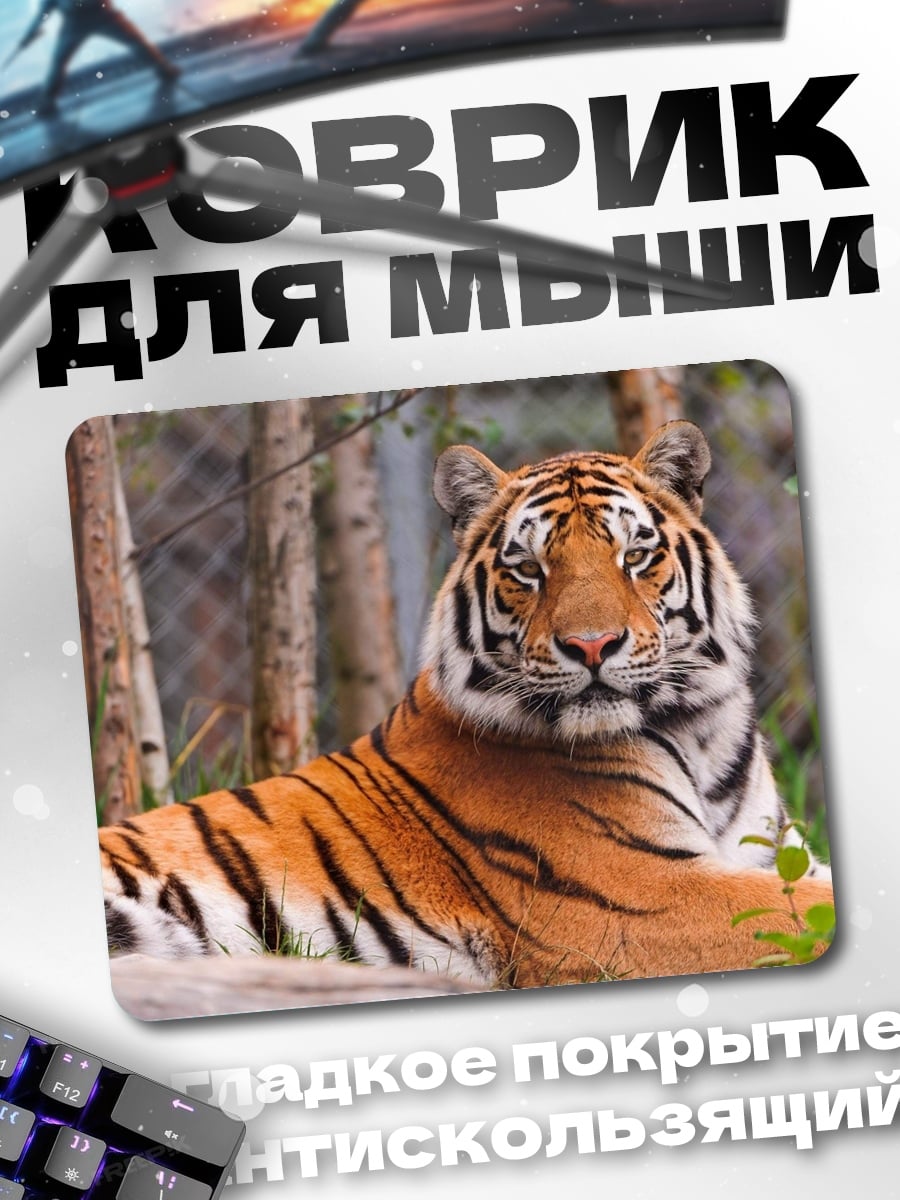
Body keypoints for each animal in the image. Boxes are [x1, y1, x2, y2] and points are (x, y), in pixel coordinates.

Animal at [100, 420, 834, 987]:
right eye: (528, 568)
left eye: (635, 556)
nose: (591, 646)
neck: (696, 728)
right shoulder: (642, 898)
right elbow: (808, 912)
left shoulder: (769, 851)